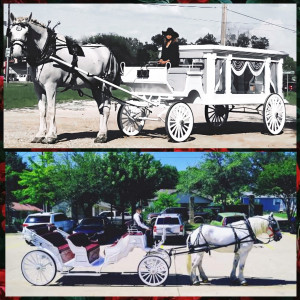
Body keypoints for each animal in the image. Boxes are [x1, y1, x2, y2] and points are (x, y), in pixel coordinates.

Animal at [7, 13, 119, 144]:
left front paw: (50, 136)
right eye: (11, 32)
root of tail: (109, 52)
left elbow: (51, 109)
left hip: (106, 85)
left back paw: (102, 135)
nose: (17, 53)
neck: (48, 52)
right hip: (95, 87)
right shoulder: (38, 88)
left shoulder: (51, 86)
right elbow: (42, 110)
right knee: (101, 108)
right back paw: (101, 134)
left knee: (106, 108)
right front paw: (40, 135)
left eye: (27, 33)